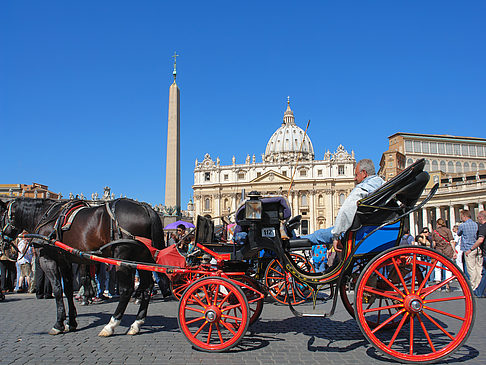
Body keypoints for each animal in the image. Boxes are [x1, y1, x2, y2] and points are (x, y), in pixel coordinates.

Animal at [0, 199, 165, 336]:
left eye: (0, 217)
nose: (4, 246)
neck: (45, 217)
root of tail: (145, 207)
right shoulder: (65, 260)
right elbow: (67, 289)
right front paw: (71, 322)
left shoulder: (48, 259)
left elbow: (57, 289)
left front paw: (58, 324)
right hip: (142, 258)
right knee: (147, 285)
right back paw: (136, 323)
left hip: (123, 257)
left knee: (126, 290)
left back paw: (111, 325)